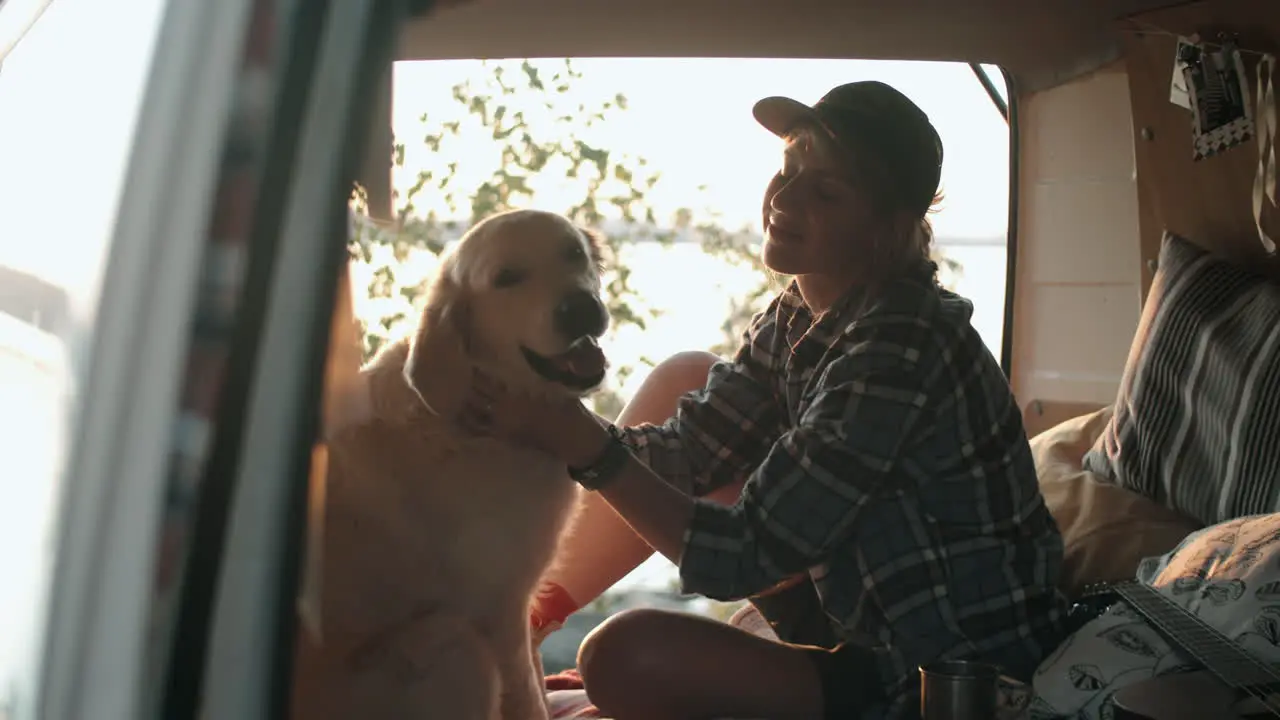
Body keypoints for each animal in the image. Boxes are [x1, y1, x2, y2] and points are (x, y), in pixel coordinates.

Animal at [291, 208, 609, 717]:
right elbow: (529, 700)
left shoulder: (518, 603)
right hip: (457, 647)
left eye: (573, 253)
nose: (579, 308)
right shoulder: (497, 614)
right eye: (506, 278)